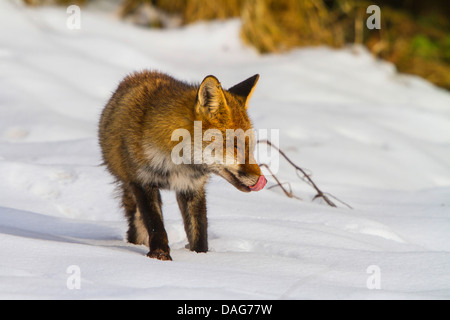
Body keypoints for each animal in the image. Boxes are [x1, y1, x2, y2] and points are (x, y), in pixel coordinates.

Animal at [98, 70, 266, 260]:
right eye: (235, 146)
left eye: (251, 147)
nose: (262, 179)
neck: (177, 164)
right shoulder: (143, 182)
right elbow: (156, 225)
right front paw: (160, 254)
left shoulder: (193, 188)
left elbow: (199, 231)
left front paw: (200, 256)